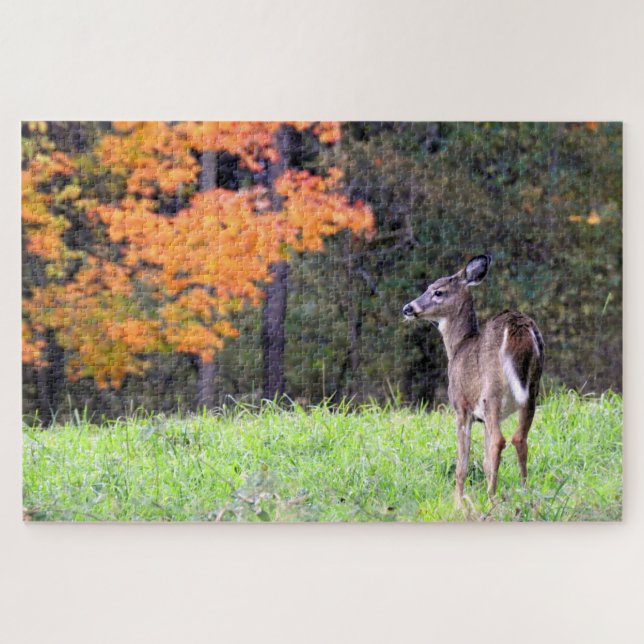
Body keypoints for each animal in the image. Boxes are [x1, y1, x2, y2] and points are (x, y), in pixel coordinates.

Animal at [402, 255, 544, 506]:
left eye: (437, 291)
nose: (407, 308)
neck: (458, 347)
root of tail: (518, 327)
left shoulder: (461, 406)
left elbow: (463, 462)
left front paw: (458, 501)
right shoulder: (483, 417)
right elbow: (486, 462)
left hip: (492, 390)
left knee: (500, 440)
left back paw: (491, 498)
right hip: (532, 389)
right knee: (519, 438)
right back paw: (524, 492)